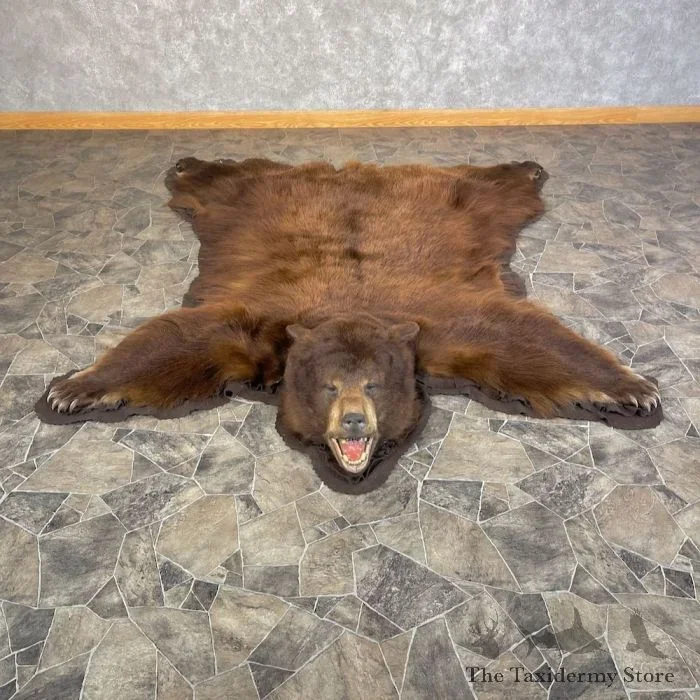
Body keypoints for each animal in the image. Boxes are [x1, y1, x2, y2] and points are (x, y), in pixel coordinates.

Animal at [43, 156, 660, 478]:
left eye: (375, 385)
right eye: (329, 387)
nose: (354, 424)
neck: (348, 312)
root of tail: (355, 170)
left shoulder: (441, 326)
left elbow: (523, 340)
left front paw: (631, 389)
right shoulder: (257, 327)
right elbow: (179, 340)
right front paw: (74, 389)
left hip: (469, 202)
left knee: (494, 186)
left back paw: (526, 168)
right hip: (242, 200)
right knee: (225, 179)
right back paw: (188, 164)